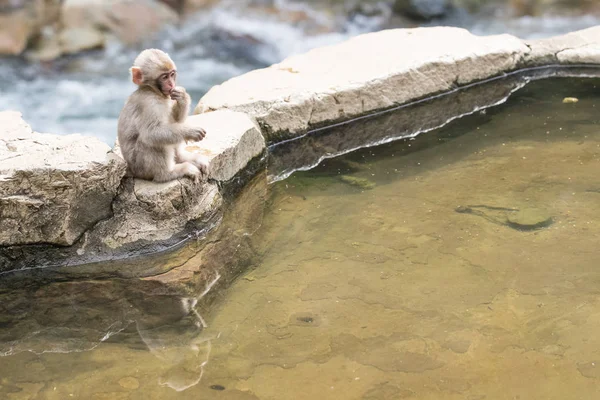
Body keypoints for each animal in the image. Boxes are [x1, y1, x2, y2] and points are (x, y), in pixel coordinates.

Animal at [117, 48, 209, 183]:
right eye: (164, 77)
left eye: (172, 74)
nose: (171, 84)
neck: (153, 91)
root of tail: (131, 170)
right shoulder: (149, 103)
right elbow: (151, 133)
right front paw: (191, 132)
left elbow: (177, 119)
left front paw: (182, 97)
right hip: (142, 167)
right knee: (149, 141)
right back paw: (168, 173)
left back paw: (182, 158)